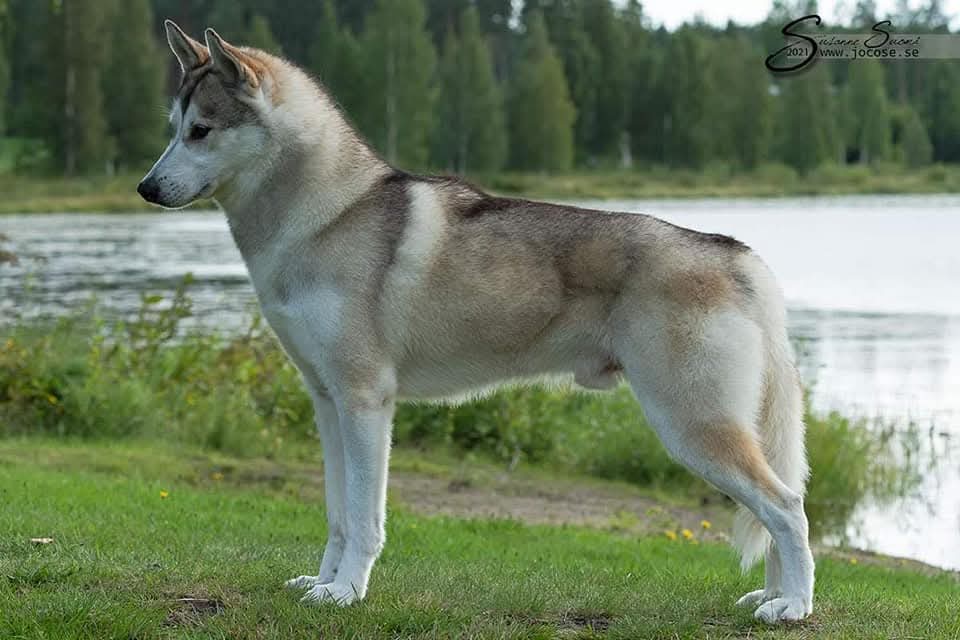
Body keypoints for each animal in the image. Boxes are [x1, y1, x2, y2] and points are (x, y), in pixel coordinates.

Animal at [138, 21, 815, 623]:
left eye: (200, 131)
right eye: (173, 129)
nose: (145, 187)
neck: (324, 216)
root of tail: (736, 253)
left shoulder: (364, 402)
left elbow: (364, 517)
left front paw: (347, 594)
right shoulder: (326, 402)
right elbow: (336, 514)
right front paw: (323, 582)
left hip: (691, 425)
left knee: (787, 507)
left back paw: (794, 608)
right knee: (780, 510)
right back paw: (771, 597)